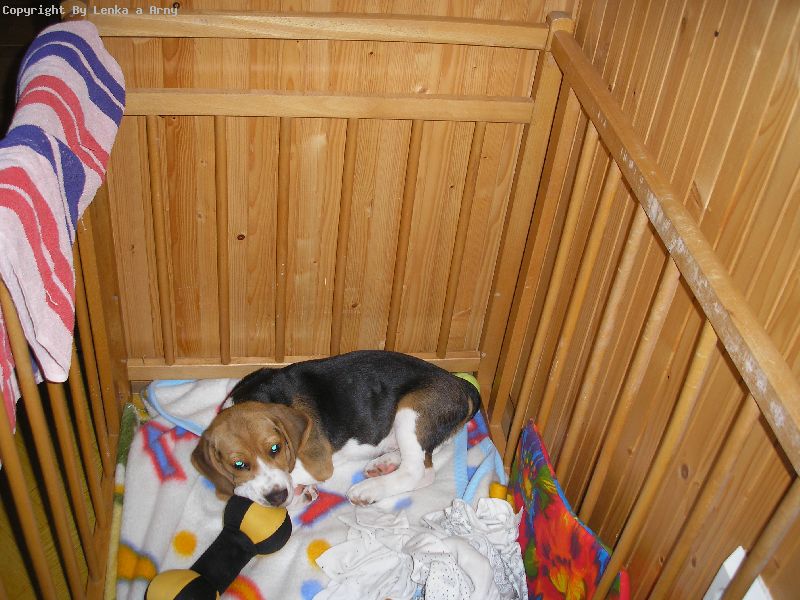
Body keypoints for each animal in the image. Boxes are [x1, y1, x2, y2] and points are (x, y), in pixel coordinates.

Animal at [191, 350, 481, 509]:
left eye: (276, 448)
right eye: (238, 464)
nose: (277, 497)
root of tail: (458, 382)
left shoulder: (318, 465)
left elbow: (272, 482)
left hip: (411, 412)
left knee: (419, 471)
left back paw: (369, 490)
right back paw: (384, 463)